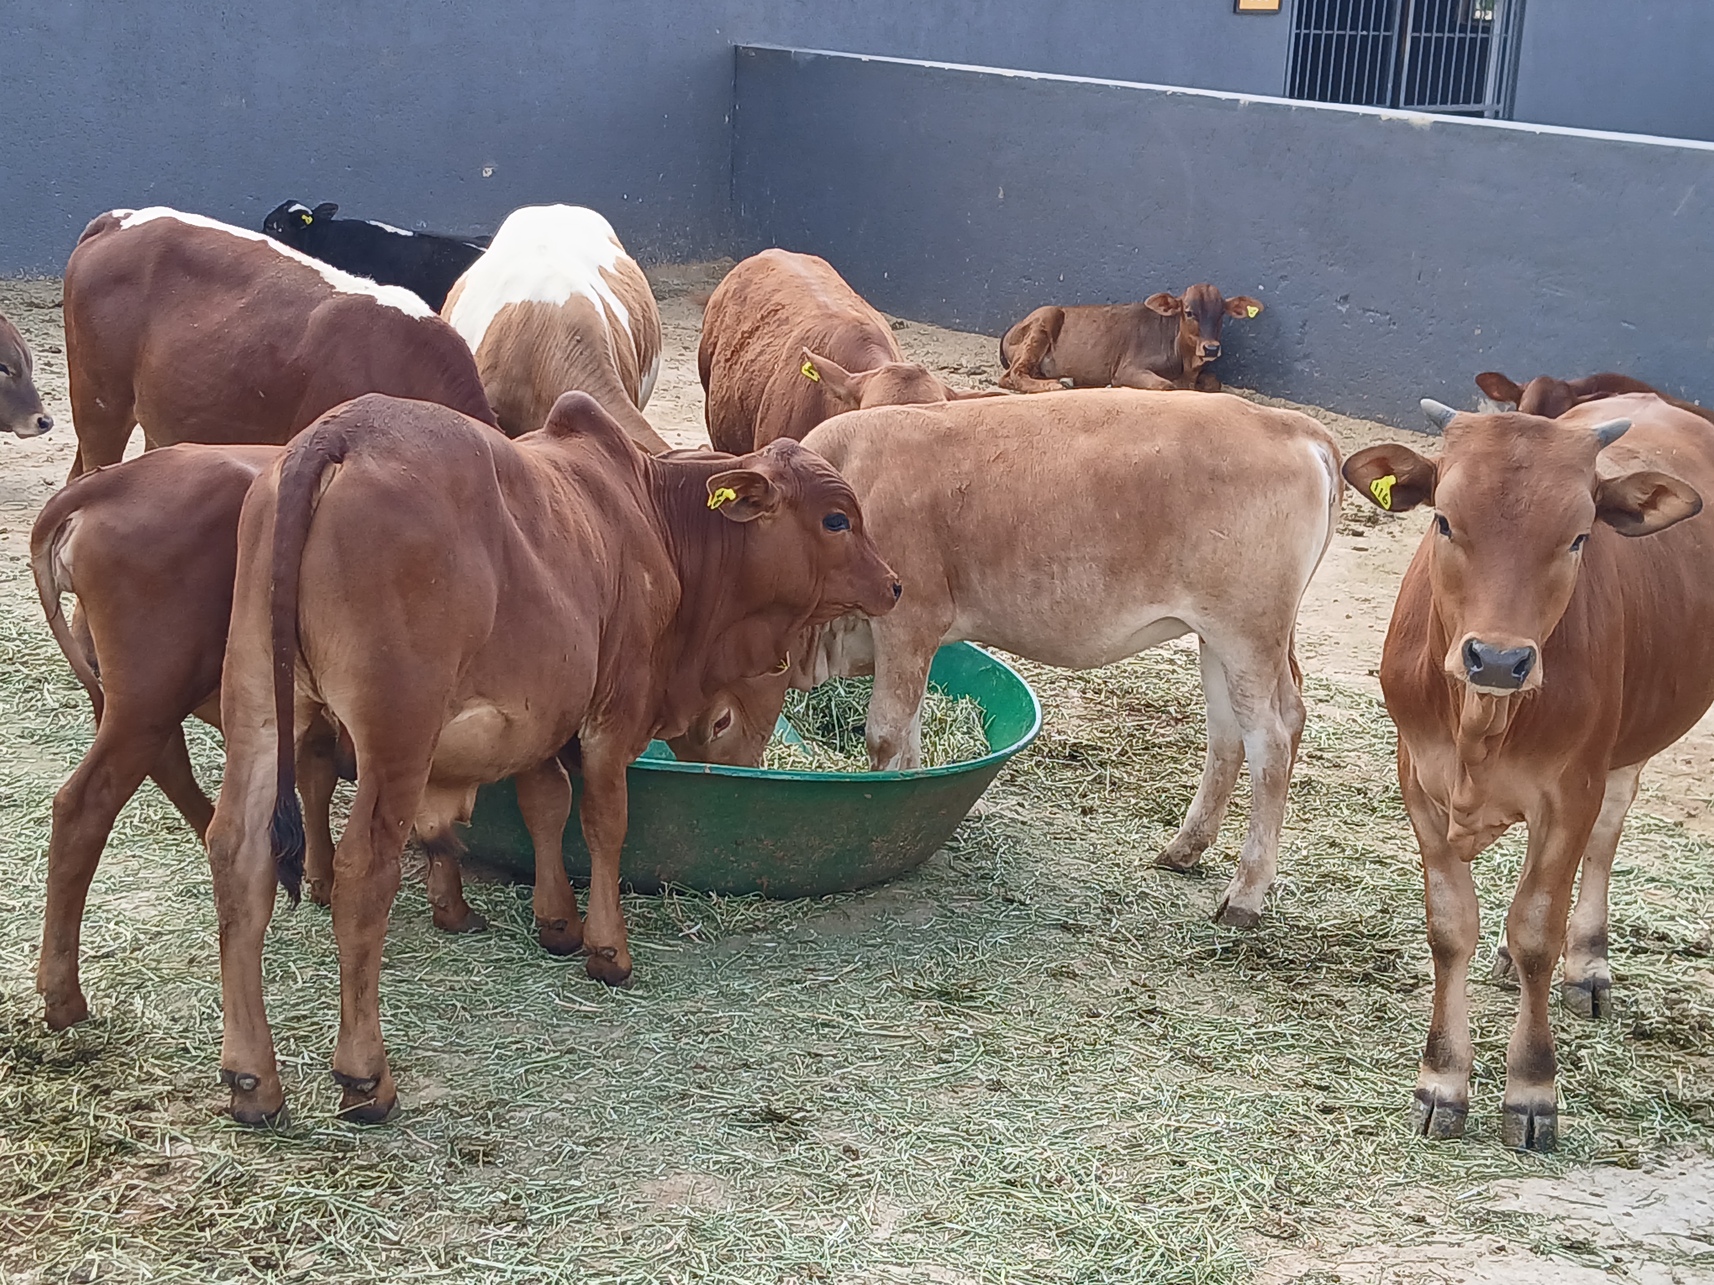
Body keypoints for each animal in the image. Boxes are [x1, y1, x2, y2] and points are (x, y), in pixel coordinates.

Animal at [28, 444, 350, 1031]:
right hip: (152, 693)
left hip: (132, 695)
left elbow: (315, 779)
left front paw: (321, 874)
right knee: (83, 806)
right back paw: (63, 994)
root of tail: (112, 480)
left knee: (173, 769)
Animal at [204, 391, 899, 1125]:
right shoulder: (612, 712)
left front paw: (556, 919)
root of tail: (339, 433)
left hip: (256, 703)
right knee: (363, 874)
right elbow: (603, 823)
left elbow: (545, 808)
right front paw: (607, 948)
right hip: (396, 730)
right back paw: (365, 1077)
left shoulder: (542, 712)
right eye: (837, 518)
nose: (893, 585)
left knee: (238, 855)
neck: (658, 519)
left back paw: (251, 1079)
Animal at [675, 389, 1343, 932]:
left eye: (719, 719)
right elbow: (910, 736)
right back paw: (1183, 849)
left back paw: (1245, 895)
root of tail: (1287, 423)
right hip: (1219, 639)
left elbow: (886, 733)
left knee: (1269, 742)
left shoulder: (907, 617)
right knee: (1233, 734)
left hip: (1246, 631)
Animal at [998, 285, 1263, 395]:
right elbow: (1165, 385)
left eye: (1221, 314)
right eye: (1189, 312)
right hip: (1045, 318)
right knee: (1012, 375)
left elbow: (1213, 381)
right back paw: (1055, 385)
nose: (1210, 348)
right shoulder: (1127, 368)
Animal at [1342, 392, 1714, 1152]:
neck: (1480, 723)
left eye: (1577, 537)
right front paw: (1442, 1081)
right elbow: (1451, 926)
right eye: (1444, 519)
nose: (1497, 659)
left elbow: (1541, 928)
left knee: (1603, 840)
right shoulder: (1417, 778)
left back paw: (1589, 962)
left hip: (1622, 754)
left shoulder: (1571, 790)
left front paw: (1532, 1090)